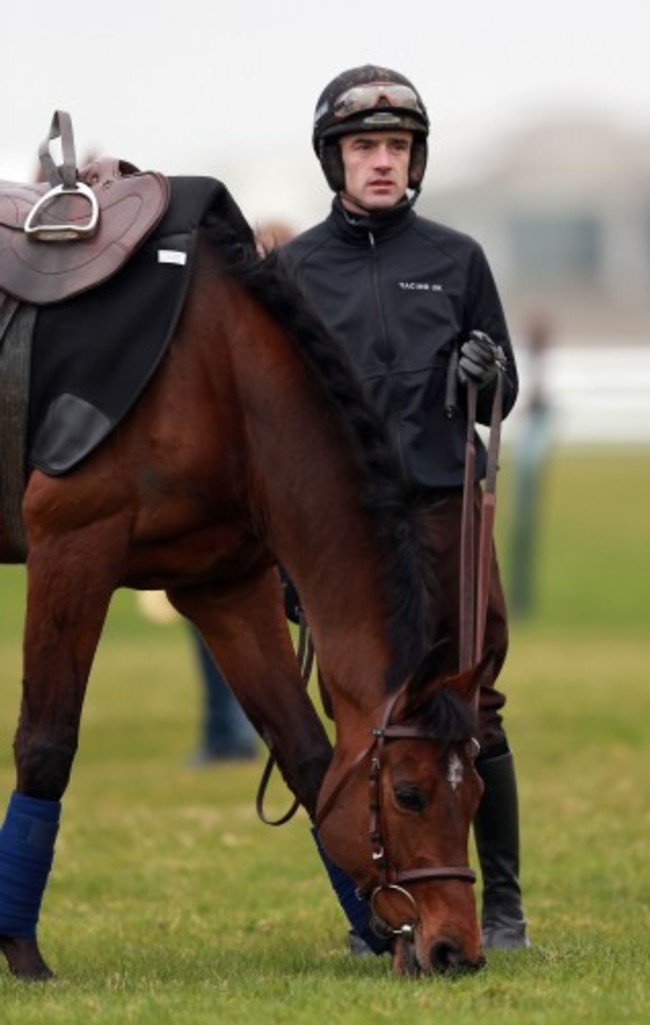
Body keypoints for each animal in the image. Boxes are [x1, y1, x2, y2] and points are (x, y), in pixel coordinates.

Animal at [0, 186, 486, 981]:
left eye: (474, 792)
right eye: (409, 794)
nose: (456, 948)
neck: (214, 370)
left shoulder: (225, 586)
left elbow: (307, 754)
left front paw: (376, 932)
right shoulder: (72, 549)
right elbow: (46, 743)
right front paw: (21, 949)